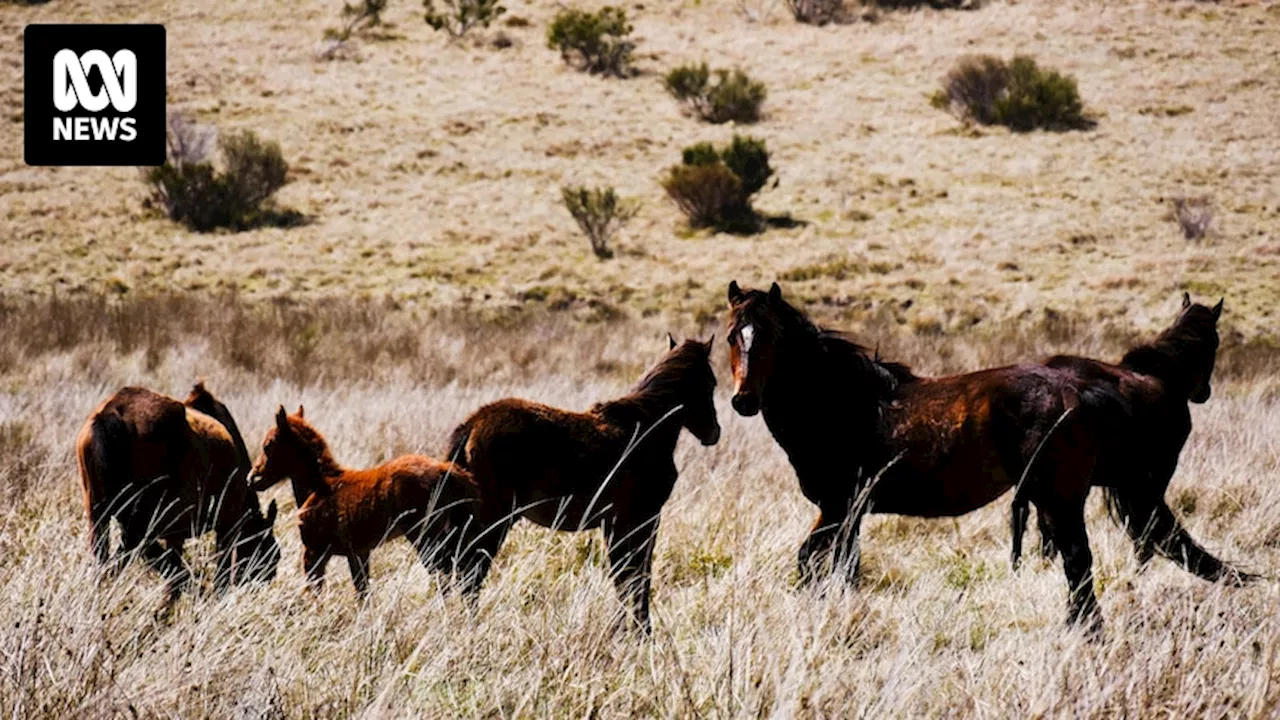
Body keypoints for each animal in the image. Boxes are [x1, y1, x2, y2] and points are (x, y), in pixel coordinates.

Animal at [76, 381, 280, 599]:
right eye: (271, 553)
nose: (266, 579)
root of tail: (111, 414)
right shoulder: (225, 524)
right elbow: (218, 576)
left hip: (99, 515)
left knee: (105, 562)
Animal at [247, 404, 478, 594]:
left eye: (268, 445)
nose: (252, 478)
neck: (320, 486)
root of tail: (448, 470)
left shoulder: (314, 552)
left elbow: (313, 594)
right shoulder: (358, 554)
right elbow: (363, 593)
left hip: (425, 536)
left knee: (444, 576)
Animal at [445, 335, 721, 627]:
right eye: (711, 382)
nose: (713, 432)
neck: (647, 427)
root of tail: (472, 425)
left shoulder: (616, 524)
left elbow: (624, 577)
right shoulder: (643, 520)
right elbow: (636, 578)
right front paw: (639, 631)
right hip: (493, 522)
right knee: (470, 574)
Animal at [727, 280, 1126, 627]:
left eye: (771, 337)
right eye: (732, 336)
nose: (743, 400)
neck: (847, 402)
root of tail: (1078, 392)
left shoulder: (837, 507)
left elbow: (810, 561)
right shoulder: (850, 513)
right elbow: (846, 567)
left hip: (1059, 500)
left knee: (1077, 562)